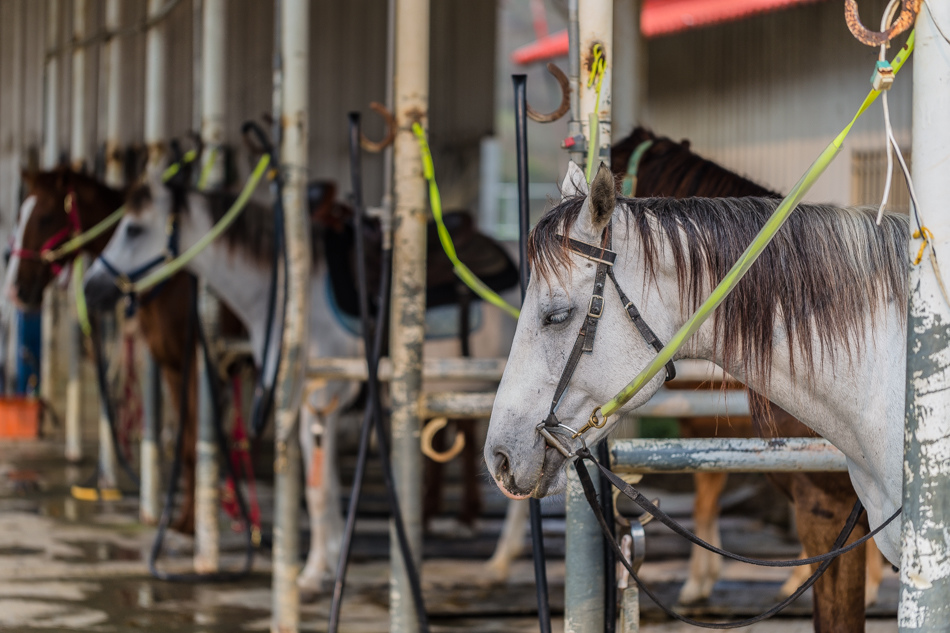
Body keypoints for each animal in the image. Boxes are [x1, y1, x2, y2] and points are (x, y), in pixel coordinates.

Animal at [3, 169, 201, 532]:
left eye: (45, 217)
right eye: (21, 213)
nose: (14, 290)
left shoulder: (192, 361)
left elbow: (198, 437)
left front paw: (192, 526)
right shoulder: (171, 362)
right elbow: (189, 441)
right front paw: (184, 522)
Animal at [83, 165, 520, 592]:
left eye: (133, 229)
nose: (90, 288)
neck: (291, 297)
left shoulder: (320, 400)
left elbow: (317, 490)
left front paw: (312, 573)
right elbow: (321, 486)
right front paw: (329, 563)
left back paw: (498, 563)